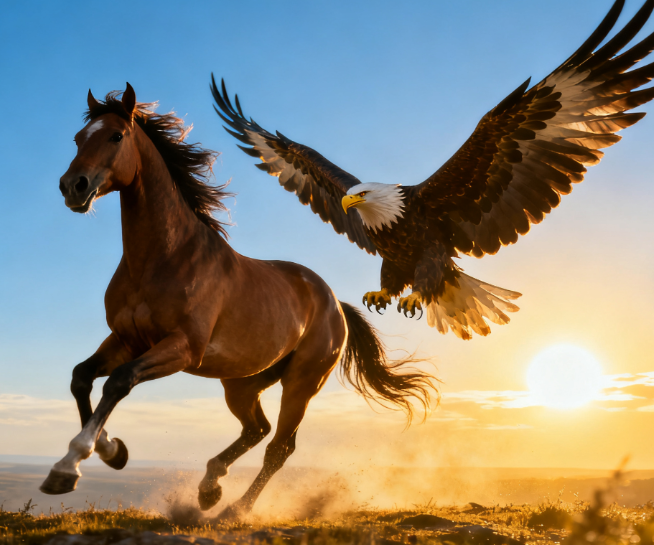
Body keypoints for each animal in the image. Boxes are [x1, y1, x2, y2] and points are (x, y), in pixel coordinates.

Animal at [40, 83, 437, 518]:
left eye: (116, 136)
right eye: (79, 138)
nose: (72, 186)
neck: (164, 257)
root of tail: (335, 304)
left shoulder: (182, 348)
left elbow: (118, 381)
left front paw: (70, 467)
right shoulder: (126, 340)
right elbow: (81, 377)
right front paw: (111, 451)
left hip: (301, 383)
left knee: (279, 446)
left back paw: (236, 507)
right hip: (242, 382)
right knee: (256, 429)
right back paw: (209, 487)